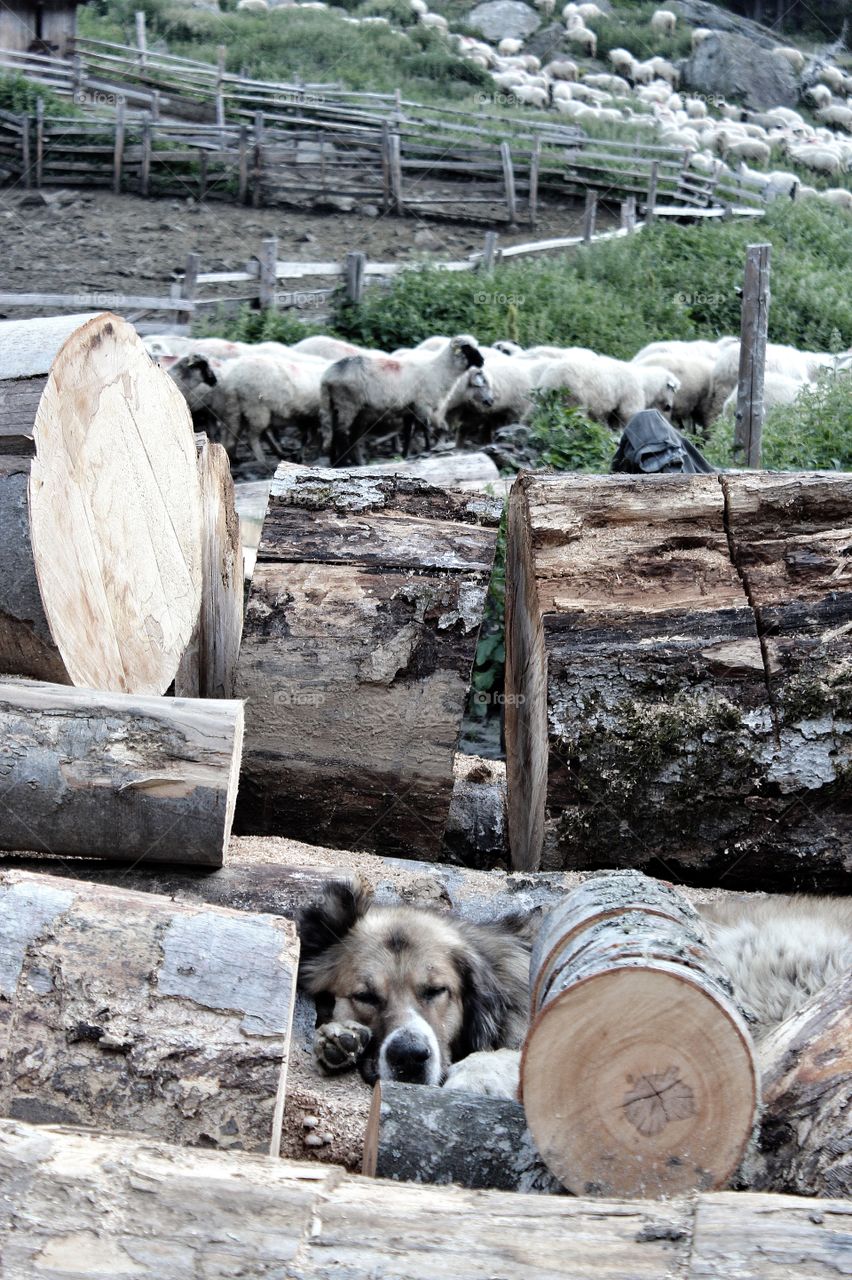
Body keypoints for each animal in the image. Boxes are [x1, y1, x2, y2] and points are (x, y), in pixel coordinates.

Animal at [319, 335, 483, 465]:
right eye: (467, 349)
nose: (482, 361)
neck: (438, 370)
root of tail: (328, 376)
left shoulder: (409, 408)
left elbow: (408, 431)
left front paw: (405, 454)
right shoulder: (422, 404)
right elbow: (425, 428)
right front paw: (428, 449)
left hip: (334, 404)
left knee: (336, 431)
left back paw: (336, 461)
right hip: (347, 403)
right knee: (341, 432)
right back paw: (345, 462)